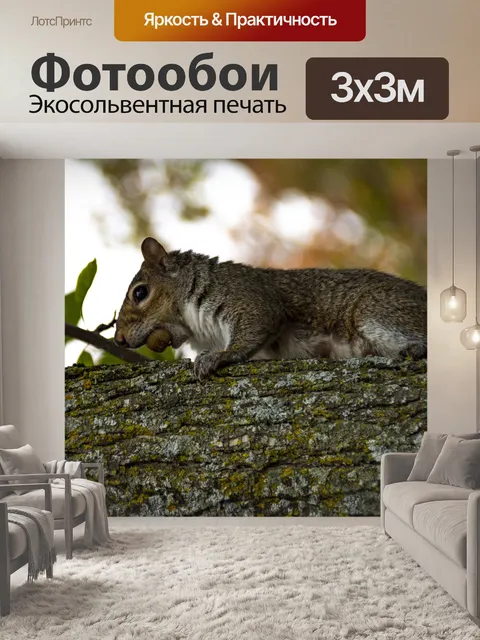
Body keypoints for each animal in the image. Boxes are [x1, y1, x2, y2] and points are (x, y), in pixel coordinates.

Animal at [114, 237, 427, 380]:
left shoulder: (248, 296)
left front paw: (218, 357)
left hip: (375, 311)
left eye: (140, 293)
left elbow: (255, 327)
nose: (119, 340)